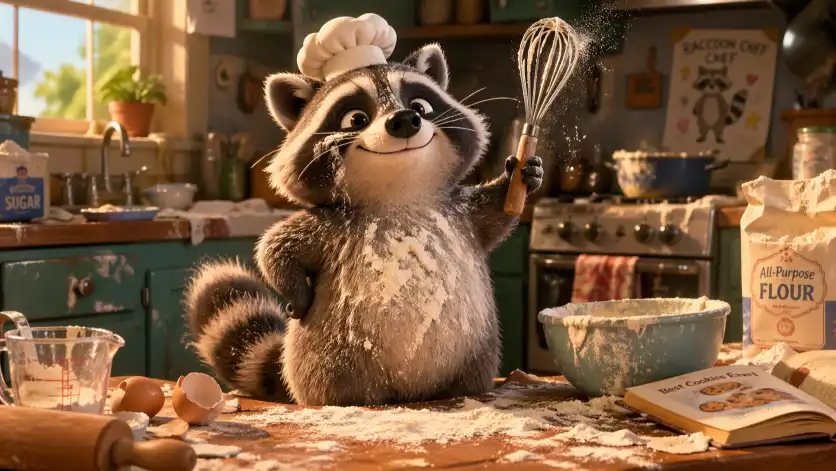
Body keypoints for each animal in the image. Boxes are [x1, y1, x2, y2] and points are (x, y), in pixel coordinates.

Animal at [184, 43, 543, 406]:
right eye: (356, 118)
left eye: (420, 106)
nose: (405, 120)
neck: (400, 193)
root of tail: (411, 394)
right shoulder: (332, 225)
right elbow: (276, 246)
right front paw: (297, 291)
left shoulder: (459, 213)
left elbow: (495, 214)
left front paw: (515, 179)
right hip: (327, 358)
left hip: (474, 354)